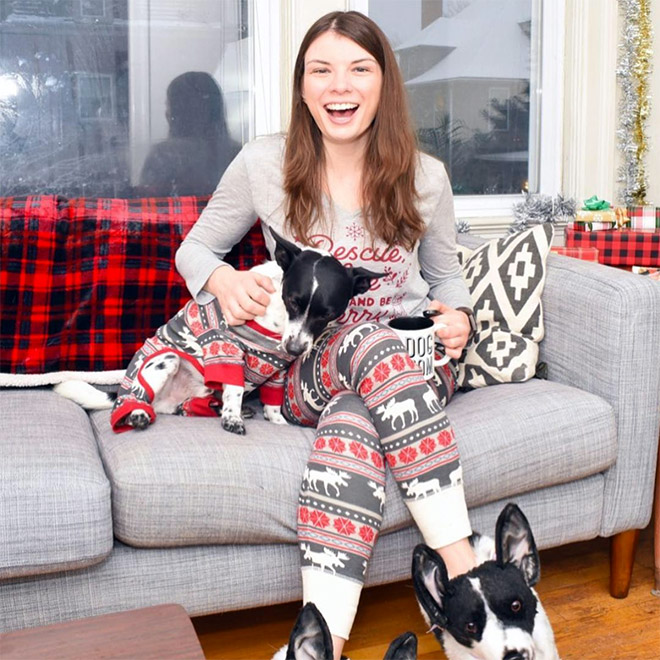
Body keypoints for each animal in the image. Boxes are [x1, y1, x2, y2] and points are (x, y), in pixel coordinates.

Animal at [57, 229, 386, 436]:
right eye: (292, 300)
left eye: (327, 314)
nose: (294, 349)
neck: (277, 321)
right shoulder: (226, 347)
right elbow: (235, 389)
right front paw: (232, 417)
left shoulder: (278, 369)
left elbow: (271, 400)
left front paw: (274, 420)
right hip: (164, 361)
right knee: (134, 396)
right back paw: (137, 412)